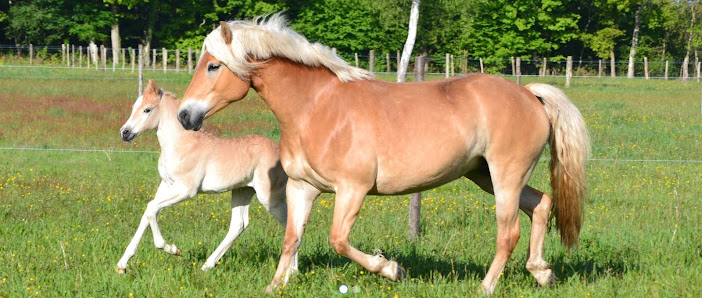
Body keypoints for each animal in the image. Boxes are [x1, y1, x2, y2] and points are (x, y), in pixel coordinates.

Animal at [117, 80, 290, 274]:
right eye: (134, 107)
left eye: (147, 109)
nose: (124, 132)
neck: (181, 143)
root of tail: (281, 152)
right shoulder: (166, 185)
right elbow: (148, 212)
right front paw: (122, 265)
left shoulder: (185, 189)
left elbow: (152, 208)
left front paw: (172, 249)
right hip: (242, 190)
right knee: (238, 225)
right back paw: (207, 265)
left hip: (269, 197)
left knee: (291, 222)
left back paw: (291, 271)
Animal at [176, 15, 588, 294]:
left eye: (213, 65)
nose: (184, 115)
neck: (317, 107)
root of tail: (529, 94)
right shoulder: (302, 187)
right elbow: (291, 238)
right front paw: (275, 286)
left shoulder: (352, 189)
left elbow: (338, 240)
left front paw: (392, 269)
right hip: (485, 175)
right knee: (541, 204)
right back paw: (542, 271)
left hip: (505, 177)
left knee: (509, 232)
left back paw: (486, 286)